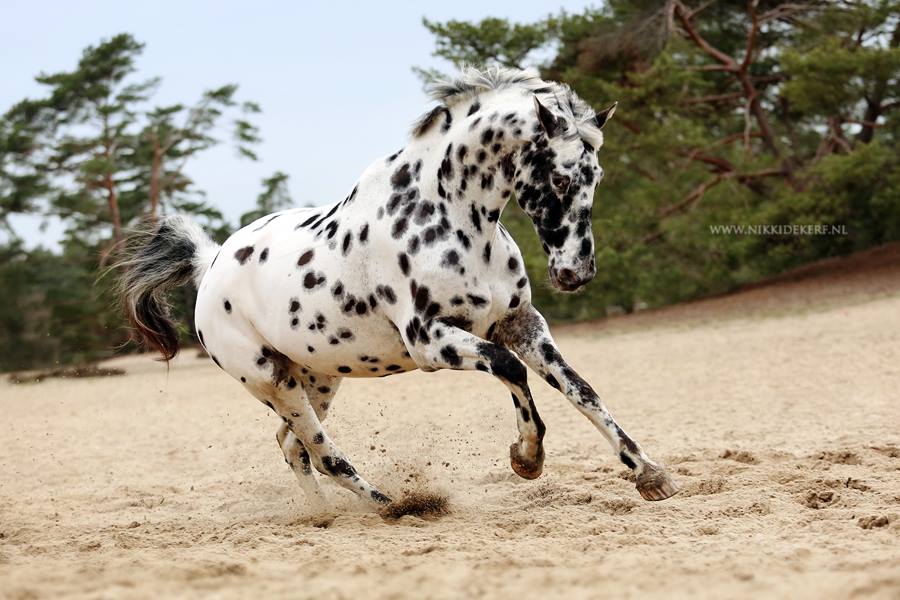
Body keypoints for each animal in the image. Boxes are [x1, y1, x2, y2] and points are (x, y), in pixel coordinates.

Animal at [121, 65, 684, 508]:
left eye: (597, 177)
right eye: (562, 179)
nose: (576, 273)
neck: (449, 218)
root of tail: (211, 261)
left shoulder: (519, 322)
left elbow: (580, 389)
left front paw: (650, 475)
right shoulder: (431, 341)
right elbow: (510, 370)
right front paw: (527, 458)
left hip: (318, 376)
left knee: (292, 445)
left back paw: (323, 515)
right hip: (272, 381)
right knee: (322, 452)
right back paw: (394, 506)